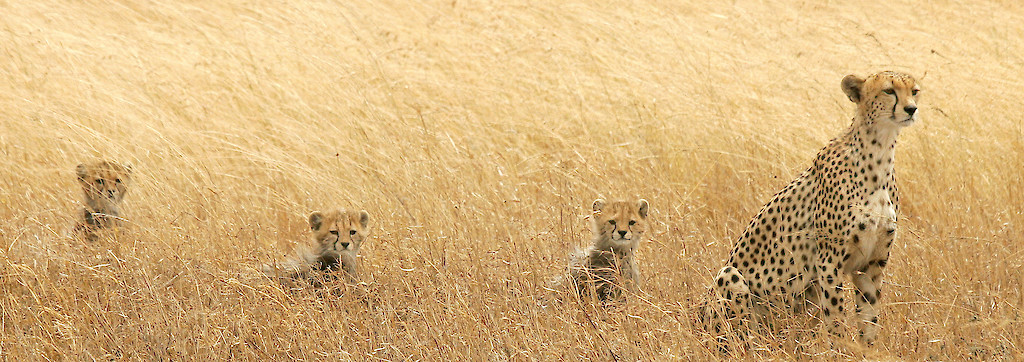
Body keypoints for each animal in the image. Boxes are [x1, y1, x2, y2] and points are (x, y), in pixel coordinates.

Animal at [712, 71, 921, 345]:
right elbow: (836, 317)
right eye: (889, 91)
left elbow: (869, 316)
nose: (911, 109)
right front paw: (841, 348)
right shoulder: (829, 261)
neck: (879, 152)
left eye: (915, 91)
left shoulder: (872, 264)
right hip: (730, 276)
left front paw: (869, 348)